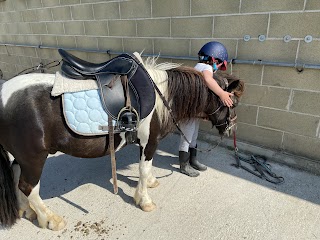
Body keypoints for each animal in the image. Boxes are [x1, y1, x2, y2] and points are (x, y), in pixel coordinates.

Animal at [0, 53, 245, 231]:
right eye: (232, 103)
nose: (231, 128)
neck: (163, 95)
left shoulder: (143, 142)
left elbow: (146, 169)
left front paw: (151, 183)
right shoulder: (150, 141)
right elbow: (144, 169)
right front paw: (144, 200)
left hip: (22, 157)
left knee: (17, 176)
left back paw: (26, 210)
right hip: (34, 157)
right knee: (28, 186)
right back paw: (50, 219)